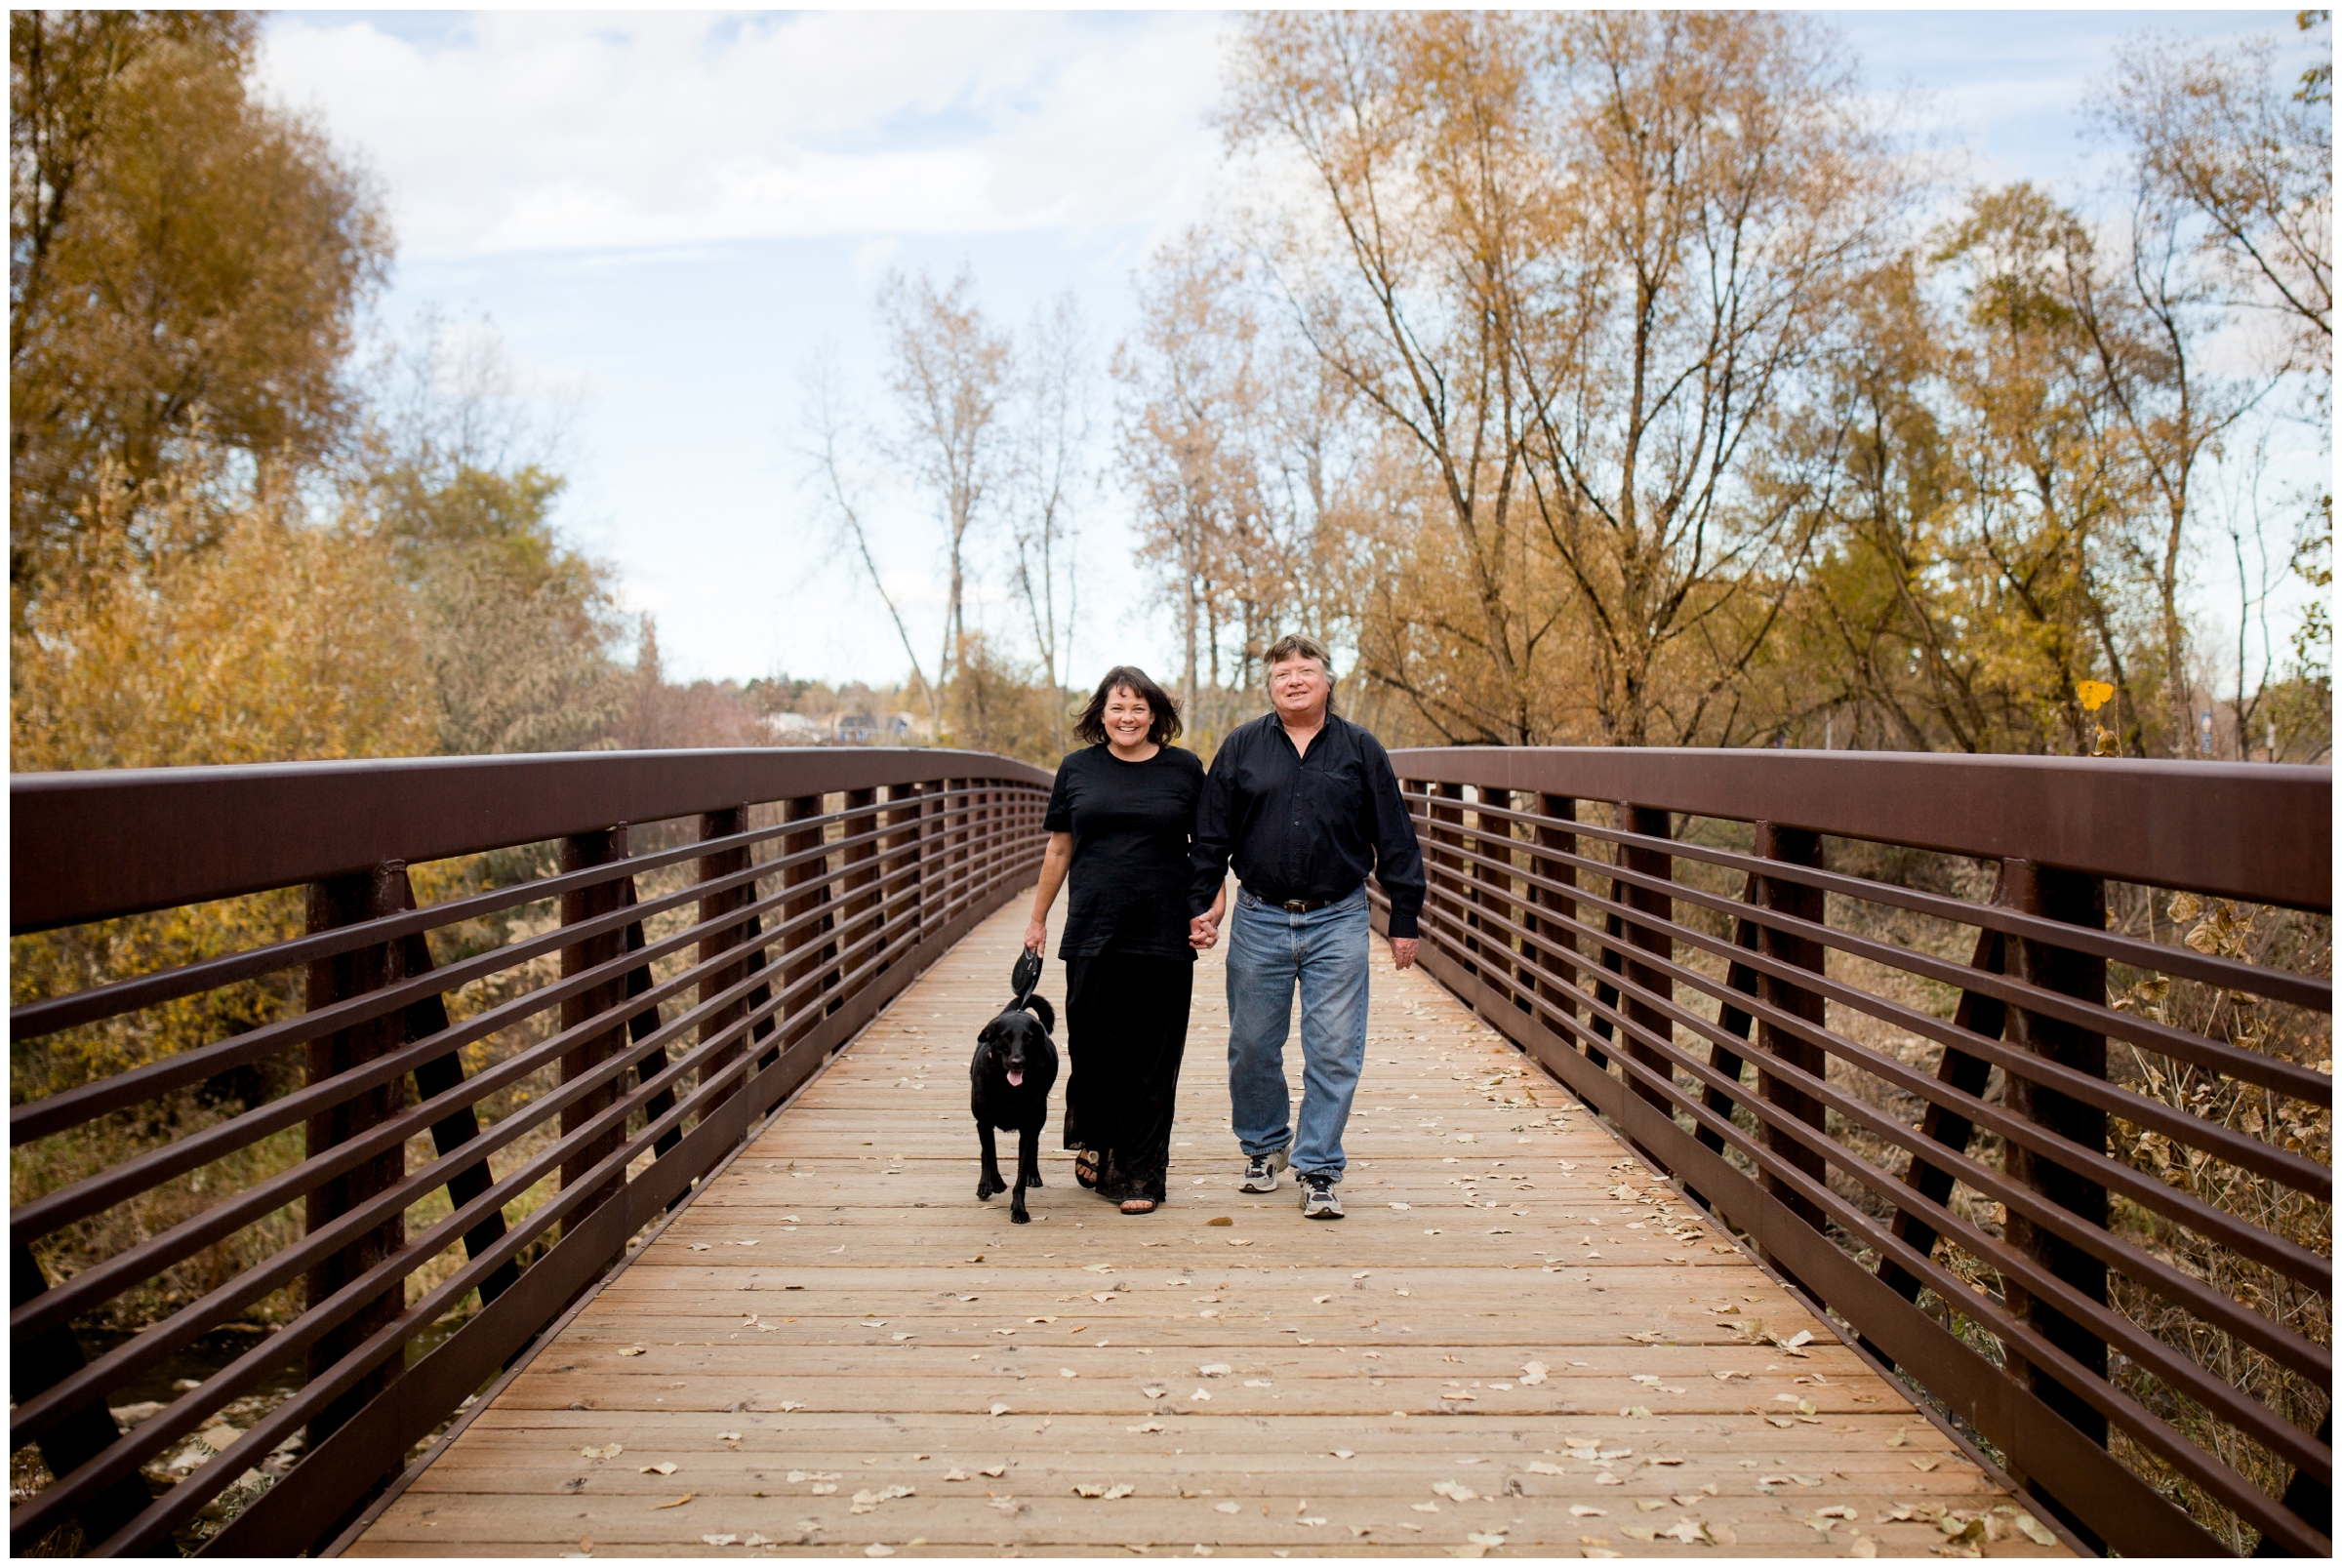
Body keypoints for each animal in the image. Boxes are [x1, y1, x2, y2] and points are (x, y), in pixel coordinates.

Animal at [969, 949, 1063, 1235]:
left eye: (1029, 1038)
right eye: (1005, 1038)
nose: (1017, 1063)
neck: (1007, 1087)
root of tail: (1018, 1007)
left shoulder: (1028, 1126)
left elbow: (1020, 1177)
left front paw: (1019, 1209)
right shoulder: (984, 1122)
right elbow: (990, 1155)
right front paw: (995, 1183)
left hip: (1039, 1116)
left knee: (1033, 1149)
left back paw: (1033, 1174)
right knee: (984, 1153)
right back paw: (985, 1184)